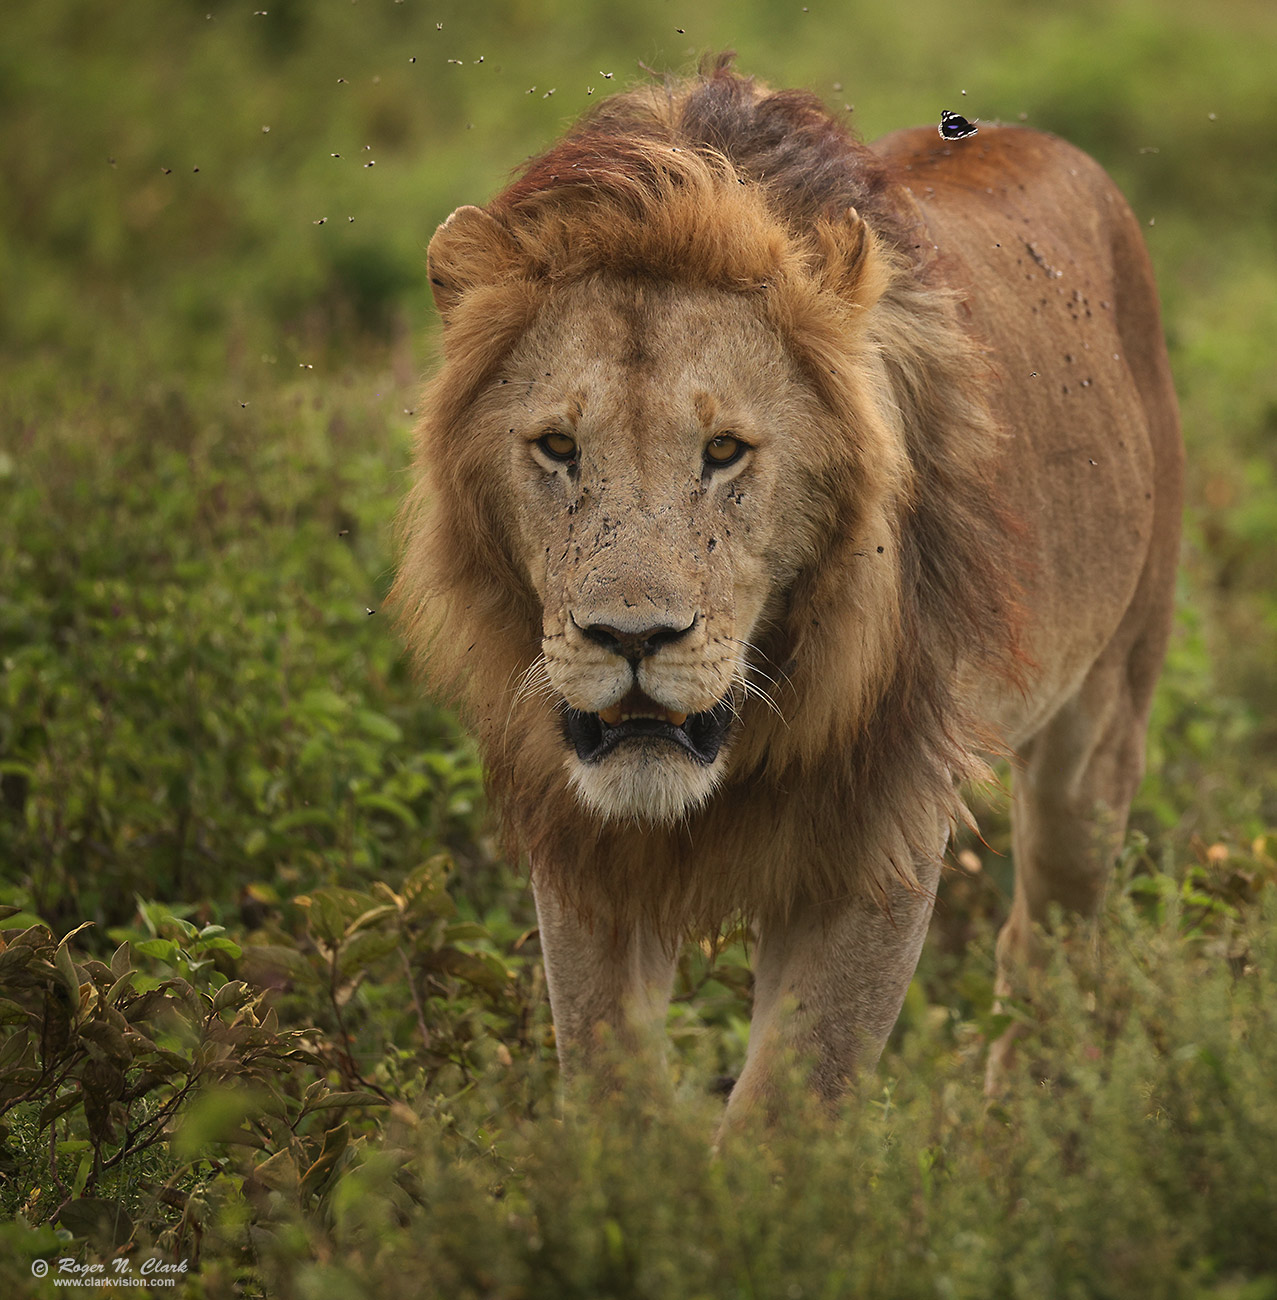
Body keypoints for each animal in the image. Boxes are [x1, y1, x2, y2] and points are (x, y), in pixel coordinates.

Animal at [395, 58, 1185, 1118]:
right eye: (557, 447)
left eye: (725, 451)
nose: (632, 640)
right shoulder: (581, 847)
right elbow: (610, 1081)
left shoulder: (881, 840)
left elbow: (787, 1103)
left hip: (1102, 722)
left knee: (1047, 938)